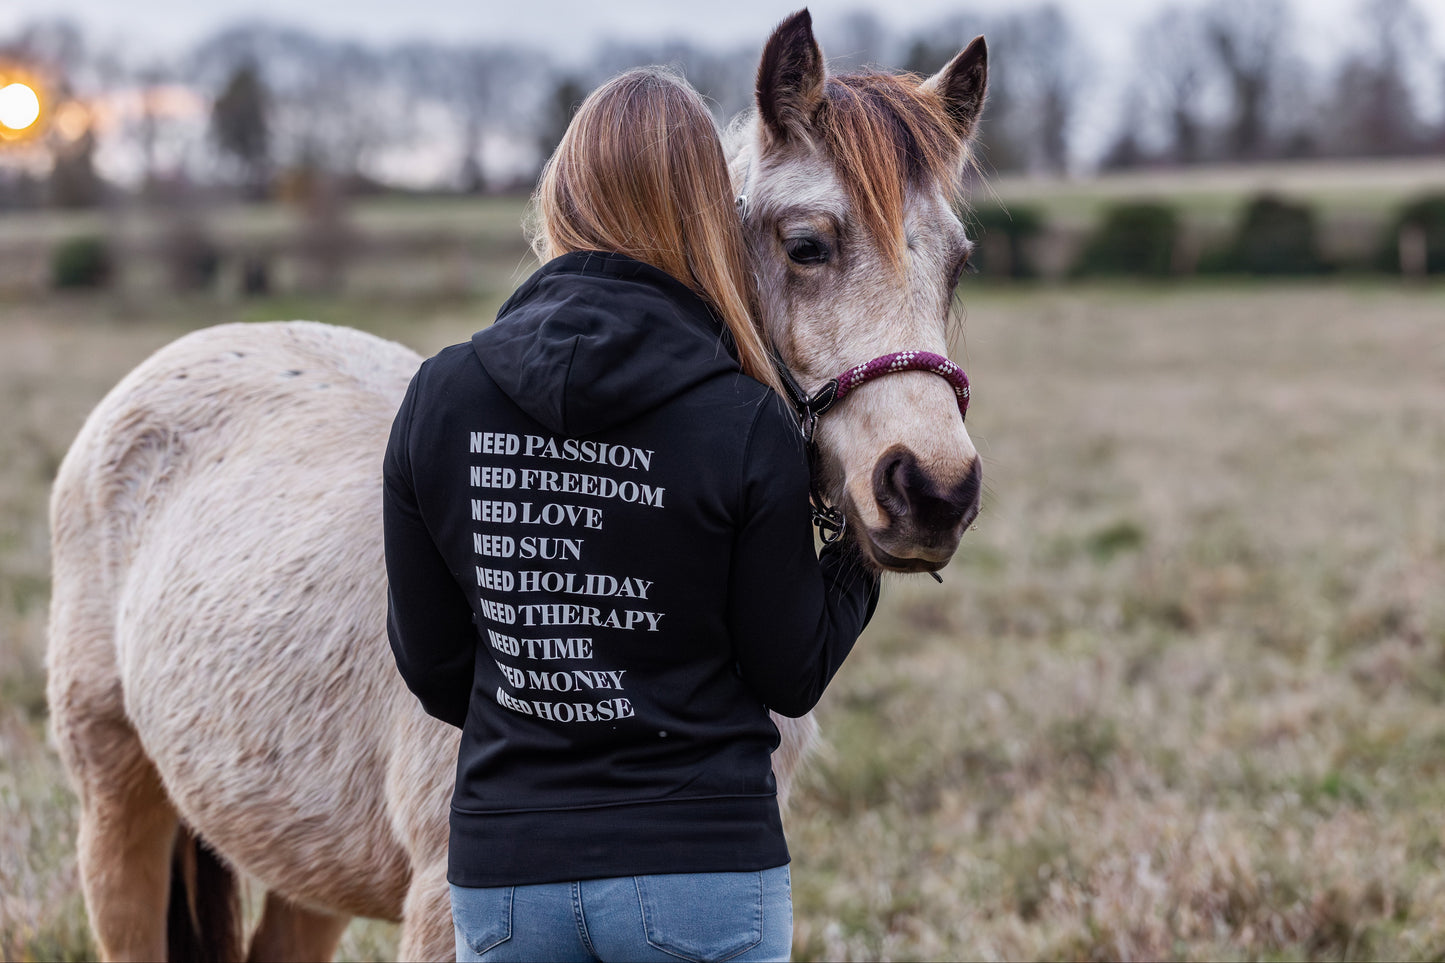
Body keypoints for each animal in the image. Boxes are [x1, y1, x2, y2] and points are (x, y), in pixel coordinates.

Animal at [46, 11, 987, 961]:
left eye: (958, 264)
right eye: (806, 246)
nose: (932, 488)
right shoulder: (439, 906)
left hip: (297, 862)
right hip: (117, 808)